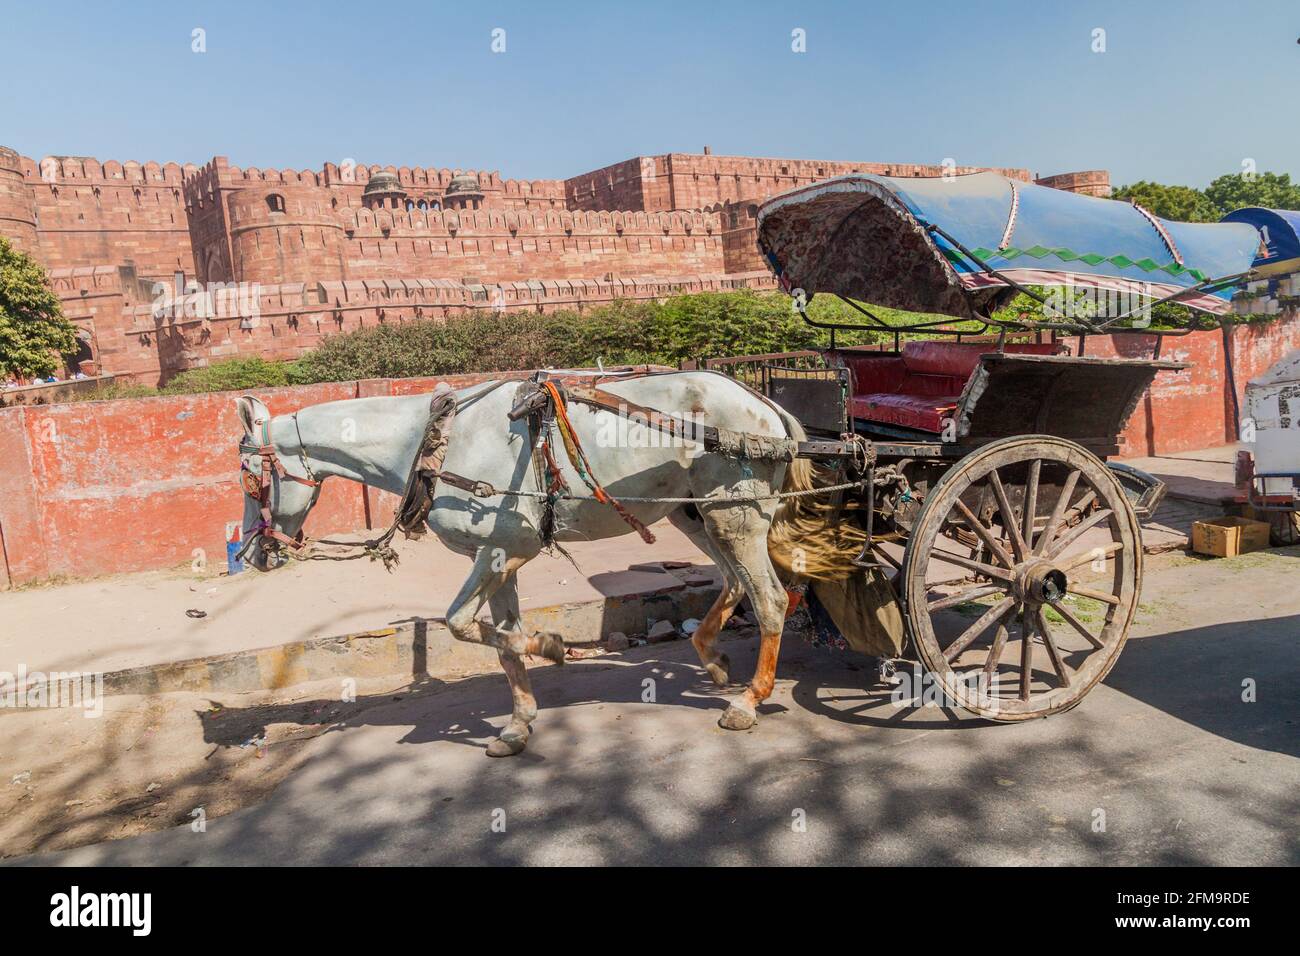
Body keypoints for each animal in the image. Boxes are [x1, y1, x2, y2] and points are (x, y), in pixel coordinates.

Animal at [235, 370, 842, 757]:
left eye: (247, 478)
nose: (253, 554)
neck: (431, 442)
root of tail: (767, 408)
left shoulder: (509, 546)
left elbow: (460, 624)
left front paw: (552, 647)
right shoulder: (496, 554)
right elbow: (502, 639)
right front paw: (519, 724)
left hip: (734, 512)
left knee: (769, 597)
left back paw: (747, 701)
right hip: (695, 514)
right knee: (737, 582)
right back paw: (712, 660)